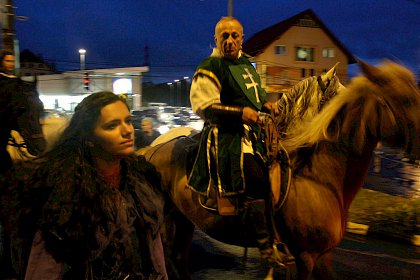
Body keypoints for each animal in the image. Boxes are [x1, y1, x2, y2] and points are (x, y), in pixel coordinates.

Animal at [139, 60, 420, 278]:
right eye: (406, 100)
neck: (320, 178)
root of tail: (150, 151)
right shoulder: (304, 258)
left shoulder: (322, 257)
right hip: (166, 223)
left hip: (183, 219)